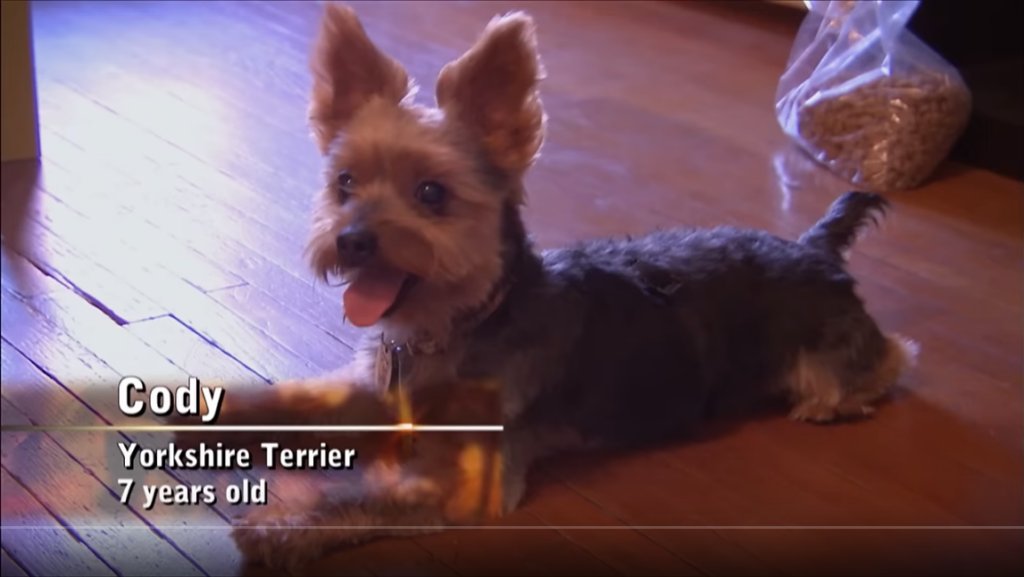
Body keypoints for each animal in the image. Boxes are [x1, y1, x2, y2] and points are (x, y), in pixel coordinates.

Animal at [169, 3, 921, 573]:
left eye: (432, 194)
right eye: (344, 183)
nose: (351, 241)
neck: (457, 323)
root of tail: (813, 245)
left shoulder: (465, 482)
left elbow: (363, 498)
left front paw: (280, 526)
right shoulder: (372, 383)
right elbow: (295, 397)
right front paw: (210, 419)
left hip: (832, 357)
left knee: (893, 357)